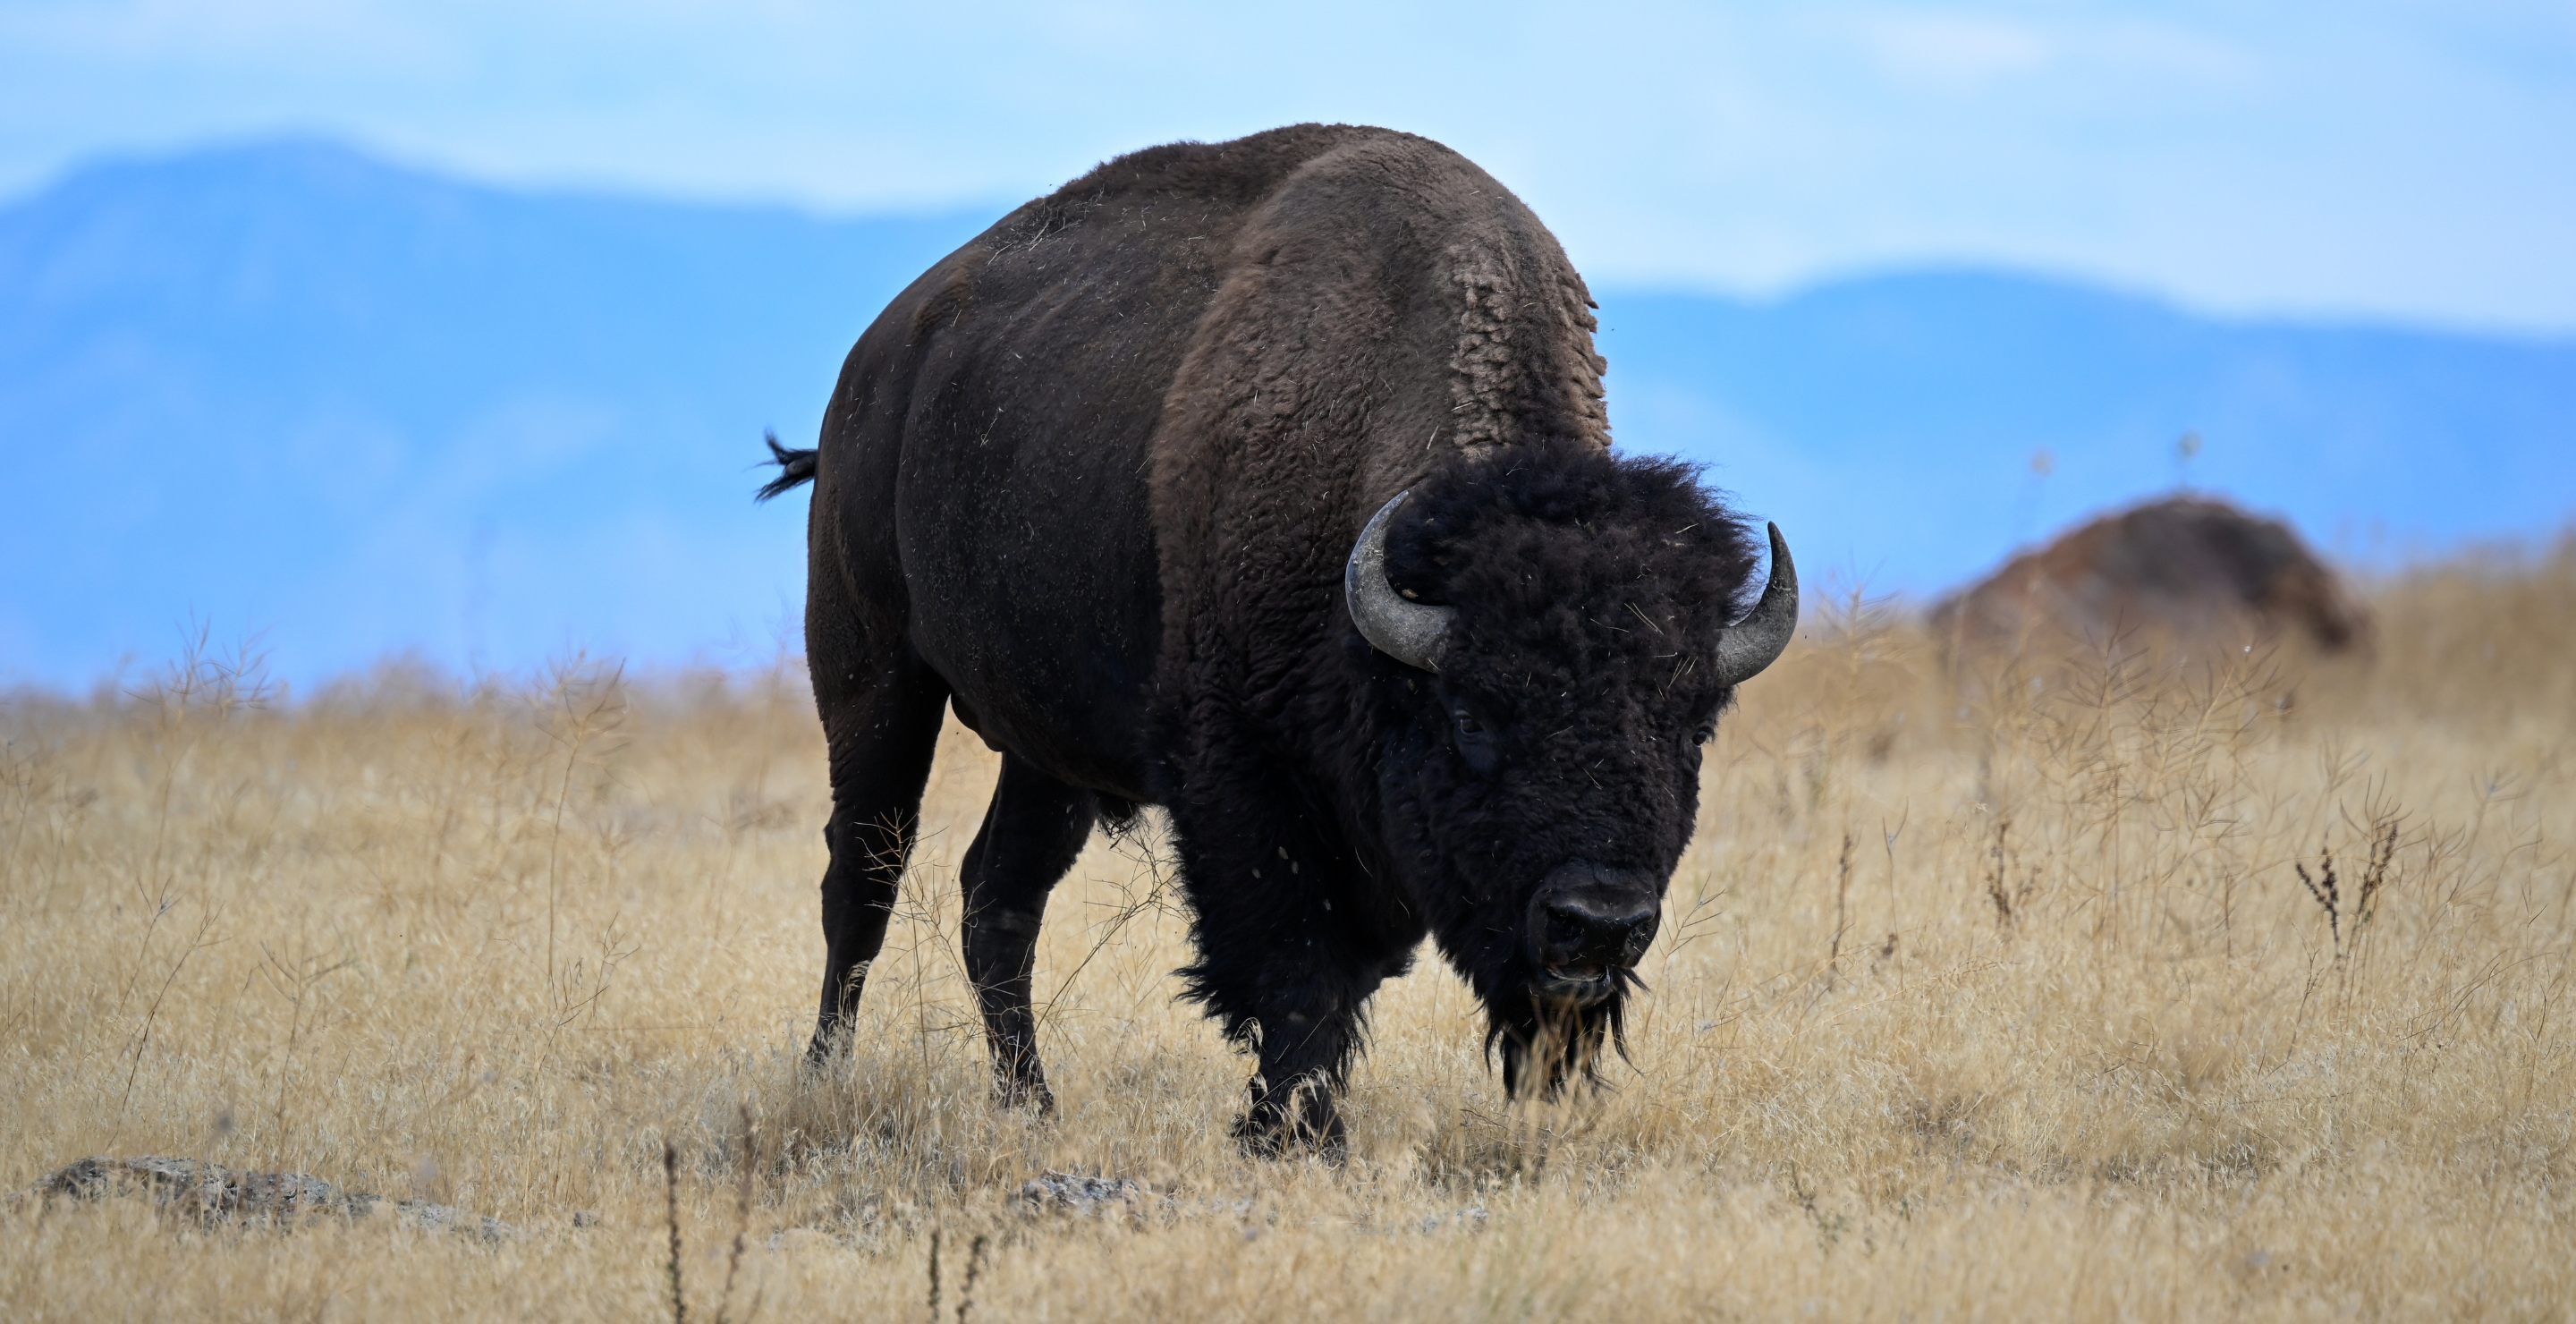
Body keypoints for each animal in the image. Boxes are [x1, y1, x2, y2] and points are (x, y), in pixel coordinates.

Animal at [758, 124, 1797, 1153]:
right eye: (1470, 714)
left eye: (1693, 724)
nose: (1597, 922)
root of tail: (877, 362)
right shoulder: (1245, 782)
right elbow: (1298, 972)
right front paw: (1293, 1135)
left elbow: (1346, 978)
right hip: (875, 681)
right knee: (863, 878)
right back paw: (825, 1078)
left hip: (1047, 749)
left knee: (999, 897)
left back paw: (1031, 1106)